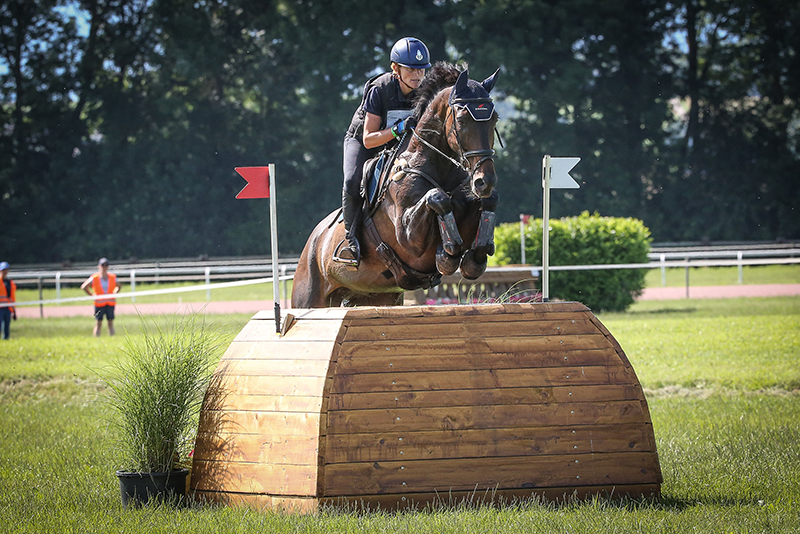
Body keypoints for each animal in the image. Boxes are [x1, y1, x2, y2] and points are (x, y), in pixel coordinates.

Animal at [290, 65, 496, 310]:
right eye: (463, 120)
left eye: (494, 119)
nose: (485, 180)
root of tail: (313, 239)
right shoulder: (408, 238)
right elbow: (437, 197)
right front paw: (447, 254)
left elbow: (484, 203)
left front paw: (475, 256)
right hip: (309, 296)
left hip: (376, 296)